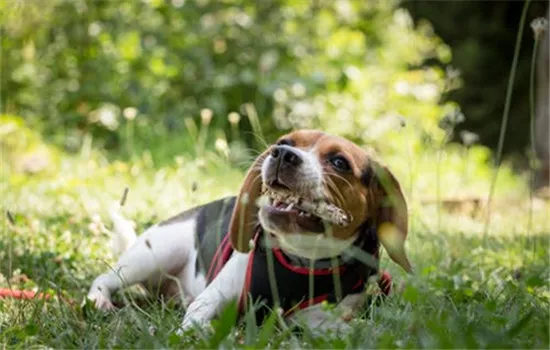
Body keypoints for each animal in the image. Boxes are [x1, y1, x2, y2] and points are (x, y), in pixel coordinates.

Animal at [87, 130, 414, 332]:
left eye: (339, 162)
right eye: (284, 140)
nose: (282, 153)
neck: (301, 259)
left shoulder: (321, 319)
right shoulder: (212, 299)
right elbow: (196, 321)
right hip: (153, 254)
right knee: (104, 278)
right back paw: (99, 300)